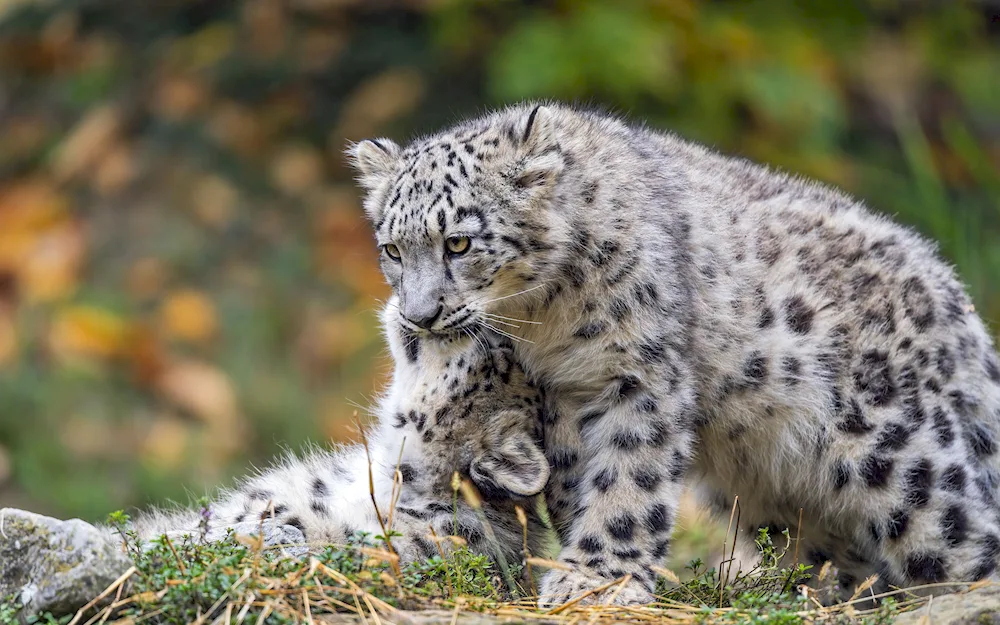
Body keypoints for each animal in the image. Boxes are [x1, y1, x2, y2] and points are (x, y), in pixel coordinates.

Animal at [348, 101, 1000, 604]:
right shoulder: (561, 398)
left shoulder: (638, 372)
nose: (418, 315)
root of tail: (951, 292)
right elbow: (572, 480)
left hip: (901, 456)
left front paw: (598, 579)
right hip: (781, 497)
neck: (540, 324)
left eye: (458, 242)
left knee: (958, 533)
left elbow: (629, 478)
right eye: (392, 249)